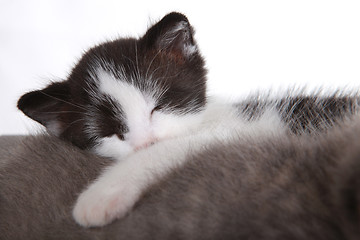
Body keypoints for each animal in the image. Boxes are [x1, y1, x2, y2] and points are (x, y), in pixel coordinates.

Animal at [16, 12, 360, 227]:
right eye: (110, 133)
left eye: (158, 107)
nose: (145, 142)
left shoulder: (236, 131)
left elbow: (172, 148)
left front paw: (101, 195)